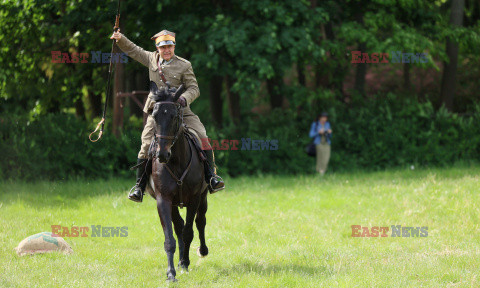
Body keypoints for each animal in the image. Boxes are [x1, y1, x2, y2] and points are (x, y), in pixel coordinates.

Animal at [144, 81, 208, 282]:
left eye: (174, 116)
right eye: (154, 116)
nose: (161, 154)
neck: (176, 160)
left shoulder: (195, 198)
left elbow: (189, 231)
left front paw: (186, 262)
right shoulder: (164, 200)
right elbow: (170, 238)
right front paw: (171, 272)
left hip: (203, 197)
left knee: (200, 221)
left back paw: (201, 251)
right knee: (178, 226)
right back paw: (180, 261)